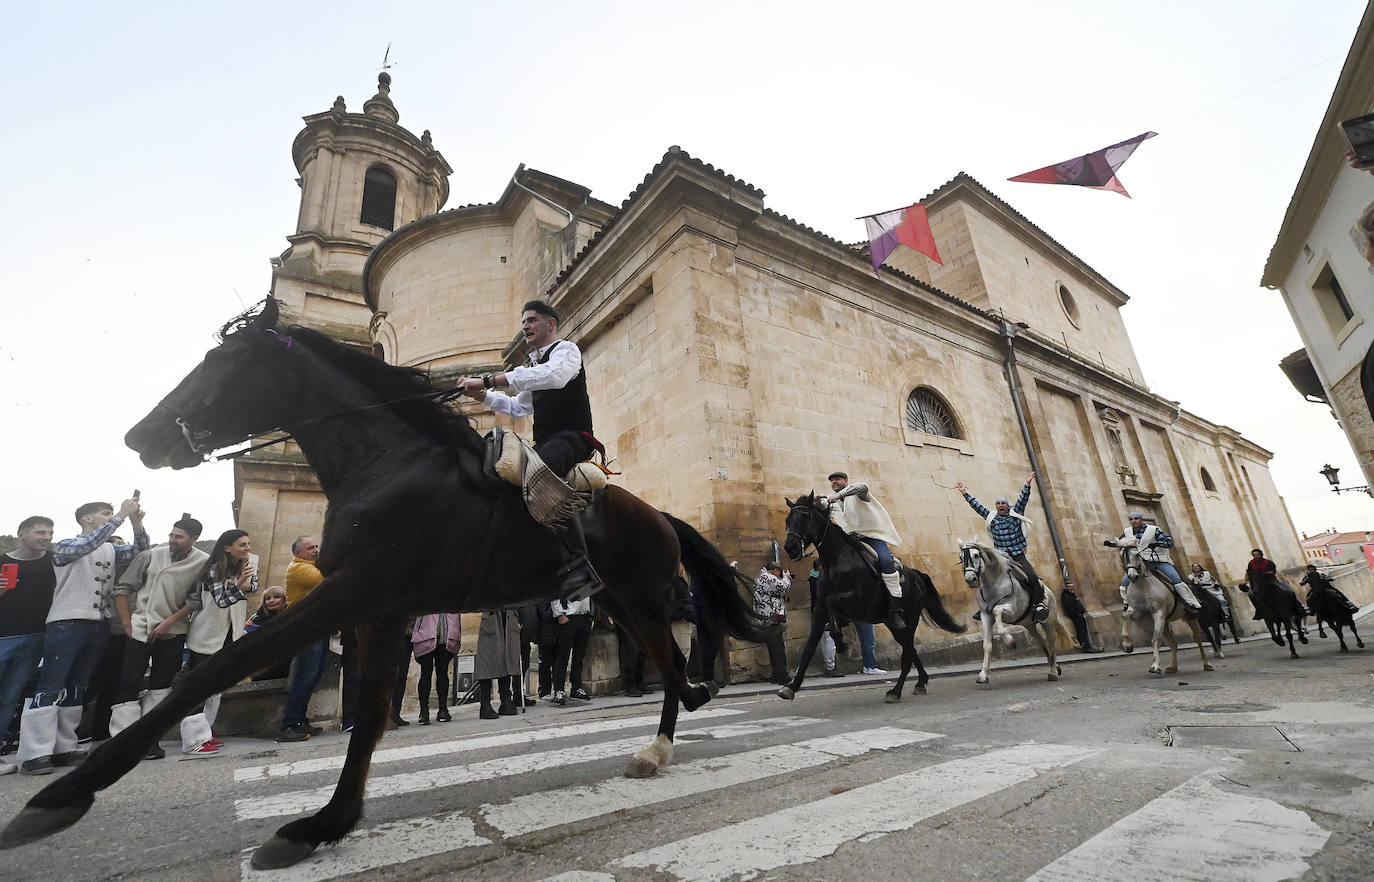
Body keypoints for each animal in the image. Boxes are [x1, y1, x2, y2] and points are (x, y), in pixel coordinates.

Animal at [0, 296, 769, 868]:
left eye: (223, 363)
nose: (142, 437)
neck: (385, 462)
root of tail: (660, 513)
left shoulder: (353, 592)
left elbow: (217, 669)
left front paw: (62, 797)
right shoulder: (381, 611)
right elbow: (368, 713)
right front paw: (324, 823)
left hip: (639, 600)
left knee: (671, 663)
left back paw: (658, 746)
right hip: (621, 602)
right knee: (672, 666)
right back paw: (674, 727)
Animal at [785, 489, 967, 700]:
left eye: (805, 516)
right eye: (788, 519)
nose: (790, 547)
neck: (836, 561)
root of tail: (917, 576)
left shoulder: (857, 602)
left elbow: (833, 605)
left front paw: (841, 642)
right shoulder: (820, 611)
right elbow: (809, 647)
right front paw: (791, 686)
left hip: (910, 620)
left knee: (907, 655)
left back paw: (896, 691)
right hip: (894, 625)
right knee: (910, 650)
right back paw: (920, 682)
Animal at [961, 535, 1066, 686]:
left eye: (976, 555)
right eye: (961, 558)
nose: (970, 579)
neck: (994, 584)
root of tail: (1050, 592)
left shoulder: (1012, 610)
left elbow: (997, 612)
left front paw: (1011, 642)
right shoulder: (985, 616)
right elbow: (987, 645)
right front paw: (983, 675)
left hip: (1049, 623)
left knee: (1052, 644)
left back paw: (1053, 672)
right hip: (1029, 626)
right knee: (1044, 643)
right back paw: (1055, 667)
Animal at [1115, 544, 1214, 673]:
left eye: (1137, 554)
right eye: (1122, 556)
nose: (1132, 576)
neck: (1143, 585)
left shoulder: (1158, 613)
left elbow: (1155, 639)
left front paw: (1155, 665)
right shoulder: (1137, 612)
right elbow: (1125, 616)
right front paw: (1127, 645)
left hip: (1189, 618)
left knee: (1197, 640)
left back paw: (1206, 664)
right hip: (1165, 624)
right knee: (1173, 643)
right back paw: (1173, 666)